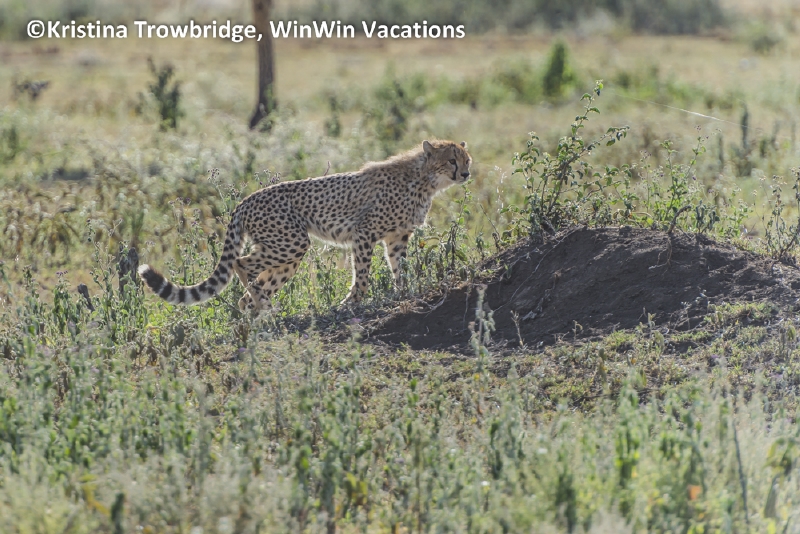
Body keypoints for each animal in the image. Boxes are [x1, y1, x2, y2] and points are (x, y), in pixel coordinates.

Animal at [138, 139, 472, 312]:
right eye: (451, 160)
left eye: (467, 159)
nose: (467, 174)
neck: (426, 180)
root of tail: (246, 199)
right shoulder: (364, 233)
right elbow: (363, 275)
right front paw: (351, 302)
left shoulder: (397, 237)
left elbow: (398, 269)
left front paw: (403, 293)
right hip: (292, 242)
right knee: (242, 264)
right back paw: (265, 307)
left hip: (285, 253)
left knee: (251, 288)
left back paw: (257, 316)